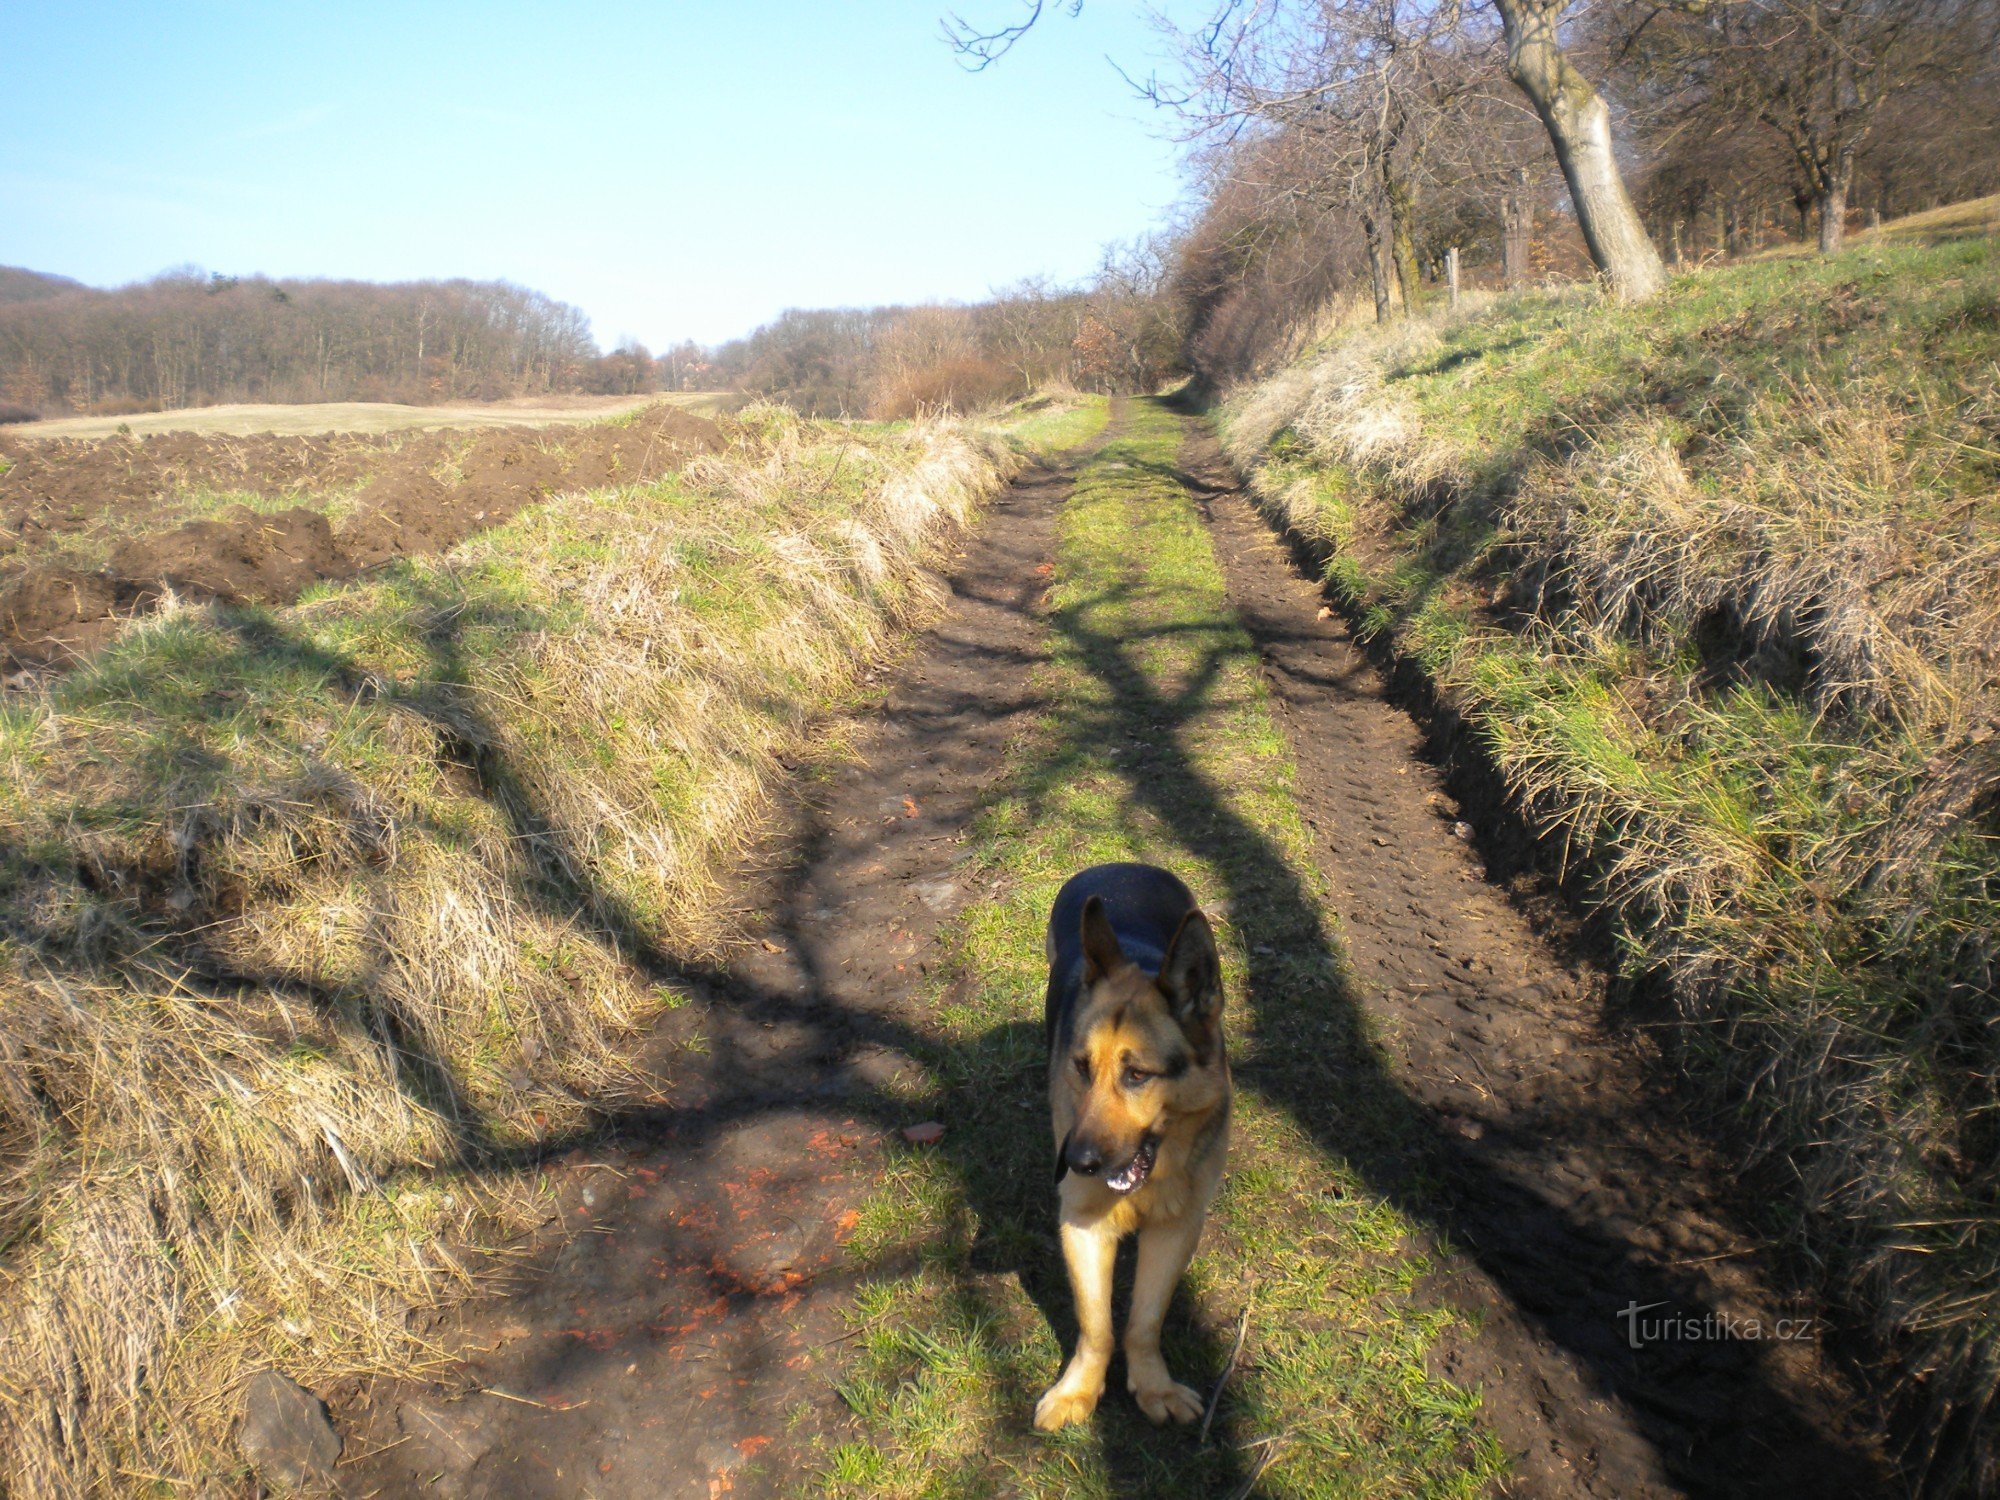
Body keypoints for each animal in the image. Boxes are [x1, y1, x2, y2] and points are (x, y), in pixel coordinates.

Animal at [1040, 864, 1224, 1440]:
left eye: (1137, 1075)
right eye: (1081, 1067)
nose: (1074, 1163)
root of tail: (1120, 866)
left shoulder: (1175, 1228)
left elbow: (1143, 1321)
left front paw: (1153, 1387)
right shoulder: (1082, 1225)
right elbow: (1096, 1324)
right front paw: (1079, 1390)